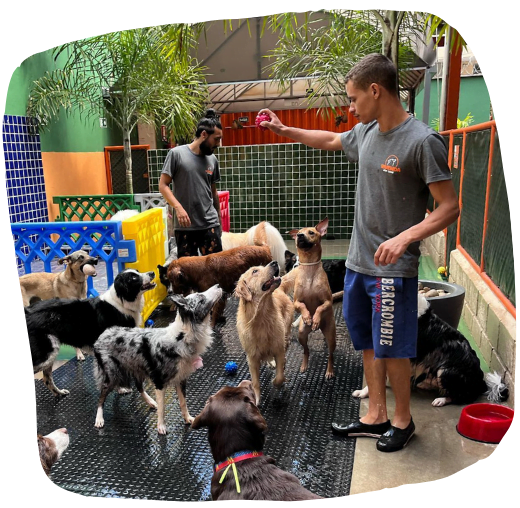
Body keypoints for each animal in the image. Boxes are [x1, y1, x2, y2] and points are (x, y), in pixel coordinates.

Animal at [26, 269, 156, 396]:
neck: (121, 302)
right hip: (45, 355)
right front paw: (122, 389)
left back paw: (60, 393)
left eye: (137, 271)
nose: (152, 273)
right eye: (133, 277)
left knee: (46, 379)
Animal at [93, 284, 222, 434]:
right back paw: (99, 418)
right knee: (101, 396)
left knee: (139, 387)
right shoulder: (159, 381)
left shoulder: (181, 379)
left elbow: (183, 402)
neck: (183, 337)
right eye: (201, 298)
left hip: (137, 368)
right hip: (111, 374)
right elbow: (162, 407)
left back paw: (150, 401)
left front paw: (188, 418)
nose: (218, 285)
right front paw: (161, 426)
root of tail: (104, 333)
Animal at [234, 260, 294, 404]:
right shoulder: (252, 357)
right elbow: (255, 382)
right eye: (255, 271)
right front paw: (256, 399)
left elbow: (279, 376)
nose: (274, 262)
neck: (262, 317)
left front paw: (277, 381)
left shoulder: (279, 349)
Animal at [286, 217, 336, 379]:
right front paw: (308, 317)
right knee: (306, 350)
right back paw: (304, 365)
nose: (300, 235)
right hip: (302, 334)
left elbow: (320, 308)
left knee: (331, 355)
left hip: (331, 337)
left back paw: (329, 371)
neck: (309, 268)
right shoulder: (296, 302)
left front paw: (315, 318)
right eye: (299, 233)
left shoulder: (327, 301)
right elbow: (302, 306)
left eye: (311, 232)